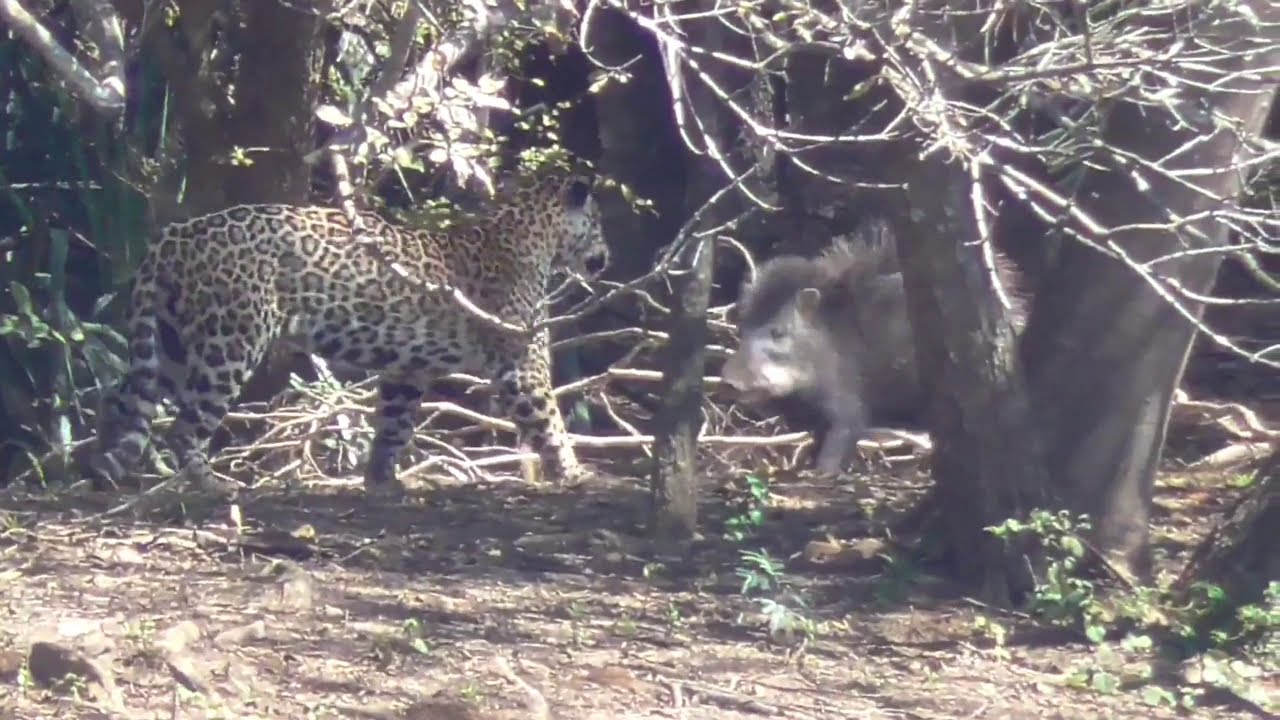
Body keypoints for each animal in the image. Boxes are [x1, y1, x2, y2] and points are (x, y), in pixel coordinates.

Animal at [89, 168, 609, 495]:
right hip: (229, 340)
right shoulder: (522, 367)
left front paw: (381, 480)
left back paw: (100, 469)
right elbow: (551, 421)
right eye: (599, 224)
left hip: (170, 340)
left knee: (125, 400)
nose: (606, 256)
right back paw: (212, 485)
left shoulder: (407, 370)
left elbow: (395, 424)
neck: (533, 237)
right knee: (184, 425)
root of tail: (172, 236)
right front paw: (576, 473)